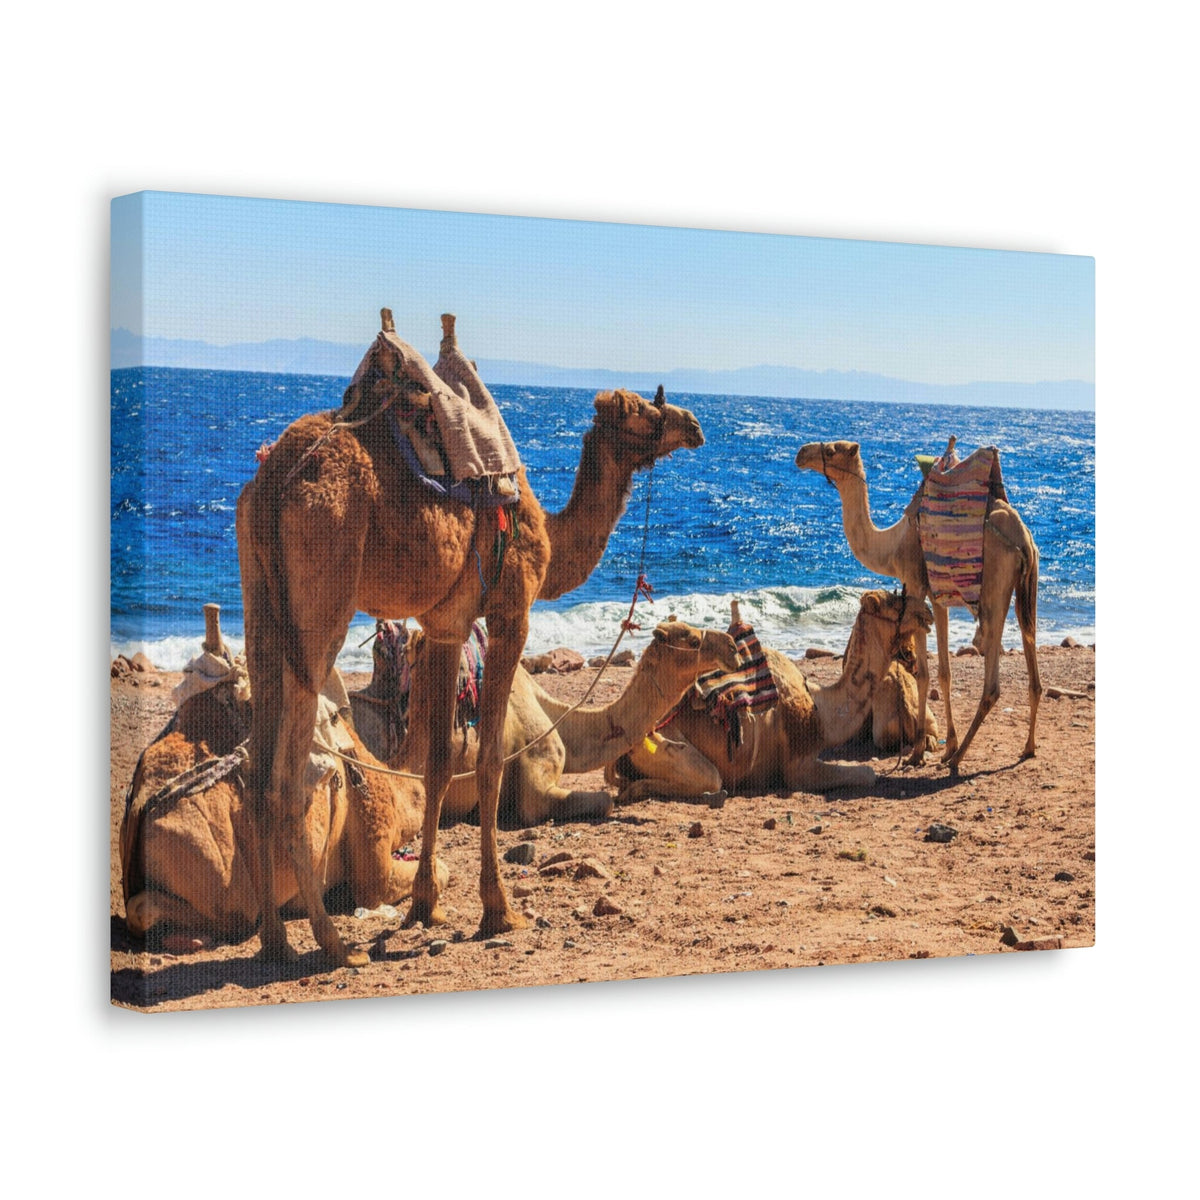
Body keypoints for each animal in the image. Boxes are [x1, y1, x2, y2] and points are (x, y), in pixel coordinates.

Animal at [603, 591, 935, 803]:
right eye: (894, 600)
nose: (927, 611)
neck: (823, 709)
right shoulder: (798, 768)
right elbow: (868, 773)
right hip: (662, 741)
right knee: (708, 778)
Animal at [794, 440, 1041, 771]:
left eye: (833, 449)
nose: (801, 454)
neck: (891, 545)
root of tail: (1023, 537)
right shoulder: (938, 597)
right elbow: (945, 673)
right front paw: (946, 746)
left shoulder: (915, 586)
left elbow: (923, 673)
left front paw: (917, 754)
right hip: (1026, 586)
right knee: (1032, 652)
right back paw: (1026, 748)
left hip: (994, 584)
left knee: (992, 678)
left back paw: (959, 759)